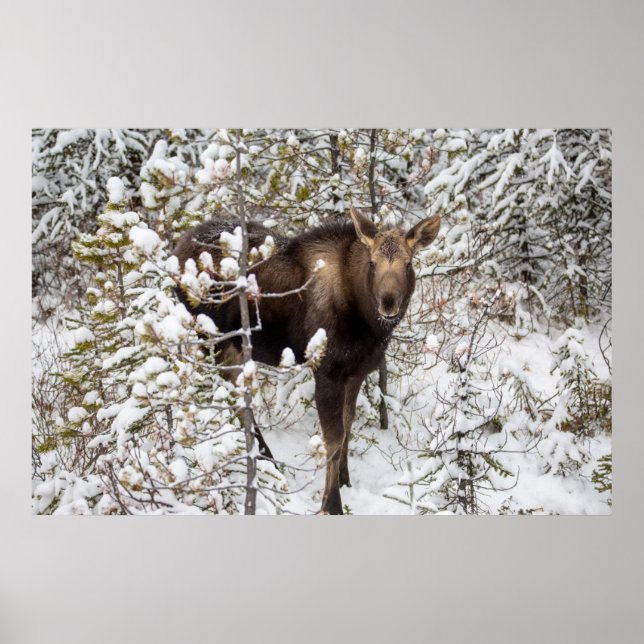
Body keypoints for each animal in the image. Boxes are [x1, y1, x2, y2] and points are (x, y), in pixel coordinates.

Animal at [173, 207, 441, 514]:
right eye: (372, 263)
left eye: (408, 264)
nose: (388, 303)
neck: (368, 324)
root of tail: (176, 250)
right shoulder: (327, 370)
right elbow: (333, 439)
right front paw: (332, 504)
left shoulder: (357, 371)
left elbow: (348, 425)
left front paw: (345, 480)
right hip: (214, 340)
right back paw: (266, 460)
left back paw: (266, 458)